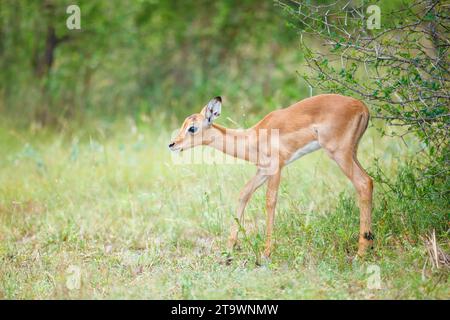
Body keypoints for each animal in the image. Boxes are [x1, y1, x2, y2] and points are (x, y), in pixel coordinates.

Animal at [169, 94, 372, 258]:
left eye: (192, 128)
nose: (172, 144)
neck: (252, 138)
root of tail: (362, 106)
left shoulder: (276, 168)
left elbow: (270, 201)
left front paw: (267, 252)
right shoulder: (262, 171)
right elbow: (244, 194)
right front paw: (228, 249)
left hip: (339, 153)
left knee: (363, 183)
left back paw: (360, 253)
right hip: (353, 152)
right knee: (369, 181)